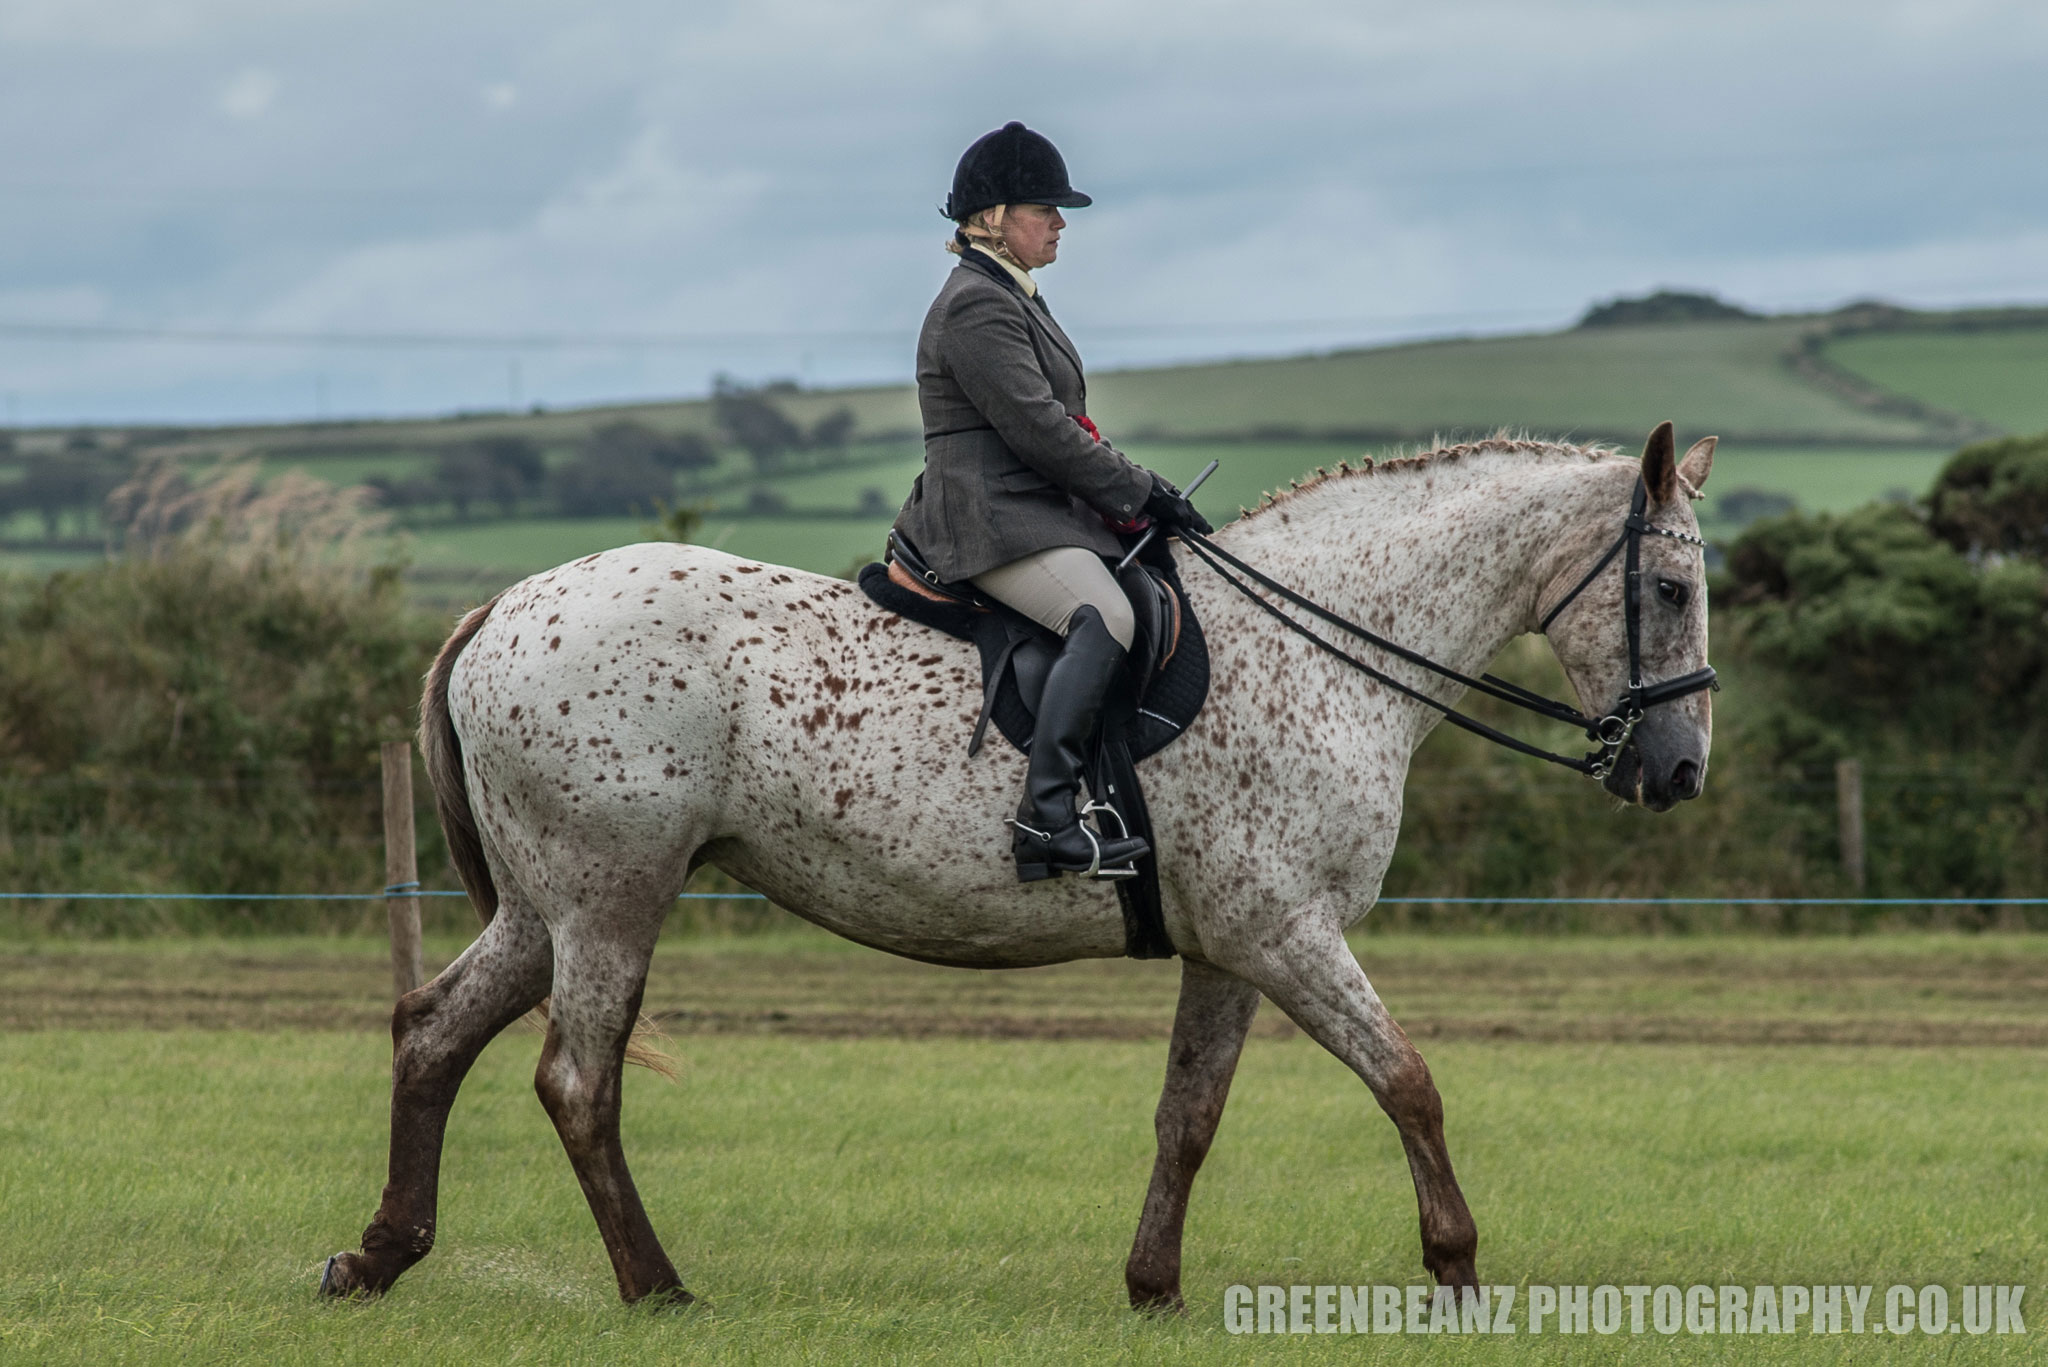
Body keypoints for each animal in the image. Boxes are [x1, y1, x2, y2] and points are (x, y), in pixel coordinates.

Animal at [319, 424, 1720, 1311]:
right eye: (1668, 585)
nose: (1677, 770)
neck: (1320, 647)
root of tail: (502, 609)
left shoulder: (1233, 946)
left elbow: (1188, 1114)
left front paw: (1152, 1287)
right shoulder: (1284, 931)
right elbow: (1409, 1082)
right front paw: (1456, 1269)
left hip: (547, 903)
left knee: (431, 1028)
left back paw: (378, 1255)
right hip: (610, 893)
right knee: (576, 1078)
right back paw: (655, 1288)